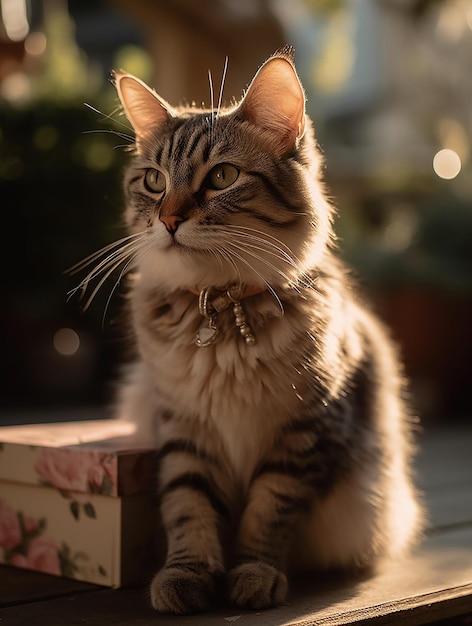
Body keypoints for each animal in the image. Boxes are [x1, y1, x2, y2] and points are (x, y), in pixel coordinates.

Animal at [106, 46, 420, 612]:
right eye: (155, 182)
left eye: (222, 177)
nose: (168, 221)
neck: (220, 309)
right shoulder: (184, 427)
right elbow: (189, 506)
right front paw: (186, 576)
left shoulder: (303, 432)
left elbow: (267, 513)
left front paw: (252, 576)